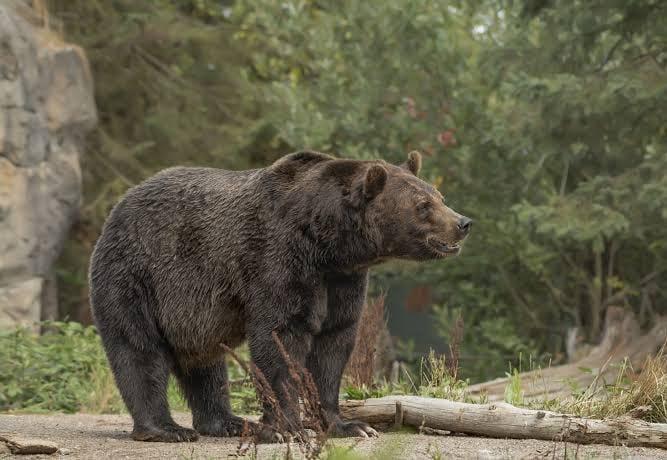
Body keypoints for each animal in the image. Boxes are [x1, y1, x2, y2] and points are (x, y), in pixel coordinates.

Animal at [88, 150, 472, 442]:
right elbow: (279, 339)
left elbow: (333, 345)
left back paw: (228, 422)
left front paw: (349, 425)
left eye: (439, 197)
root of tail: (118, 206)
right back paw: (166, 429)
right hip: (137, 275)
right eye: (423, 205)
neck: (328, 244)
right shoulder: (278, 260)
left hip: (192, 313)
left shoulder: (342, 282)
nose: (463, 222)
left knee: (206, 364)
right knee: (139, 349)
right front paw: (286, 428)